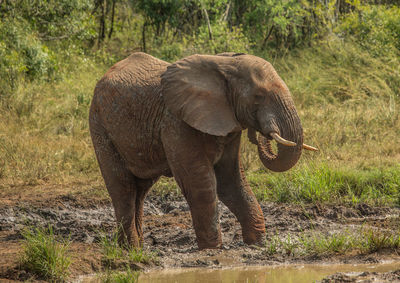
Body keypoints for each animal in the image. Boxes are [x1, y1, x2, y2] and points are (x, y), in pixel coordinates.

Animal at [89, 51, 318, 251]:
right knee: (123, 187)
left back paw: (137, 247)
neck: (225, 66)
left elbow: (230, 179)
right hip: (100, 125)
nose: (262, 134)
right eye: (258, 96)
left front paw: (257, 243)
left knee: (141, 190)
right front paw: (211, 249)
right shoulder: (175, 122)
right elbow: (200, 183)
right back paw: (131, 250)